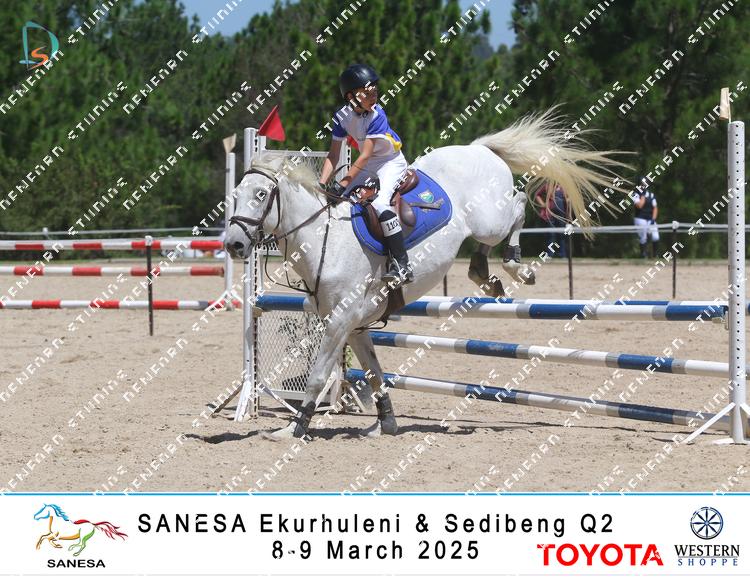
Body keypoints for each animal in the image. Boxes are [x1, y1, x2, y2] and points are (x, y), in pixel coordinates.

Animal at [226, 108, 626, 440]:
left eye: (261, 195)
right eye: (236, 195)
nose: (233, 245)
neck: (326, 237)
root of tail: (479, 149)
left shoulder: (340, 321)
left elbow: (317, 378)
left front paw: (294, 429)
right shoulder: (355, 325)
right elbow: (374, 373)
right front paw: (385, 424)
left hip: (490, 219)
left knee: (519, 207)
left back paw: (515, 265)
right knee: (493, 239)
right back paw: (484, 275)